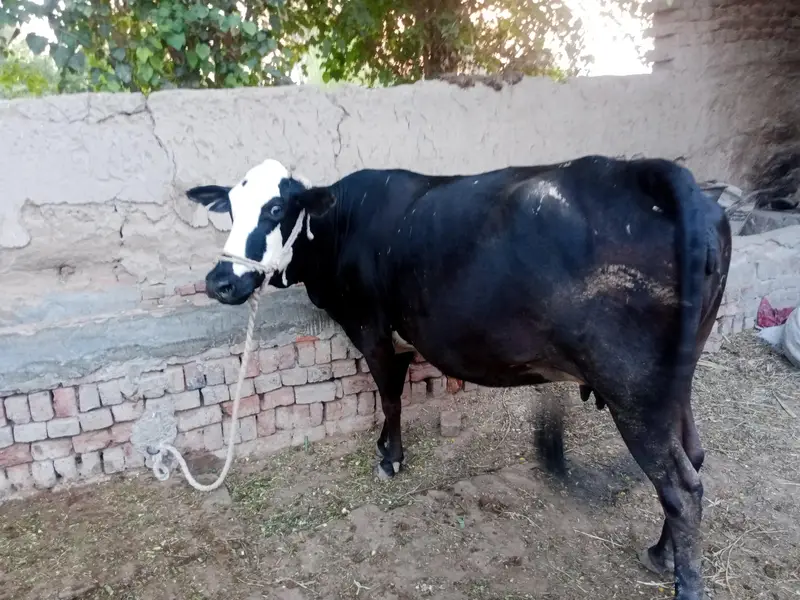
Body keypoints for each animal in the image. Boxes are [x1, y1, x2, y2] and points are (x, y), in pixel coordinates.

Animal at [186, 155, 731, 600]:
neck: (343, 225)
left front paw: (390, 457)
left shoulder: (371, 328)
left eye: (277, 209)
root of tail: (658, 174)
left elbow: (389, 395)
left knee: (681, 487)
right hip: (674, 378)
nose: (221, 281)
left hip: (632, 389)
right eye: (230, 209)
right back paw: (660, 554)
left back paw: (682, 580)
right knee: (694, 456)